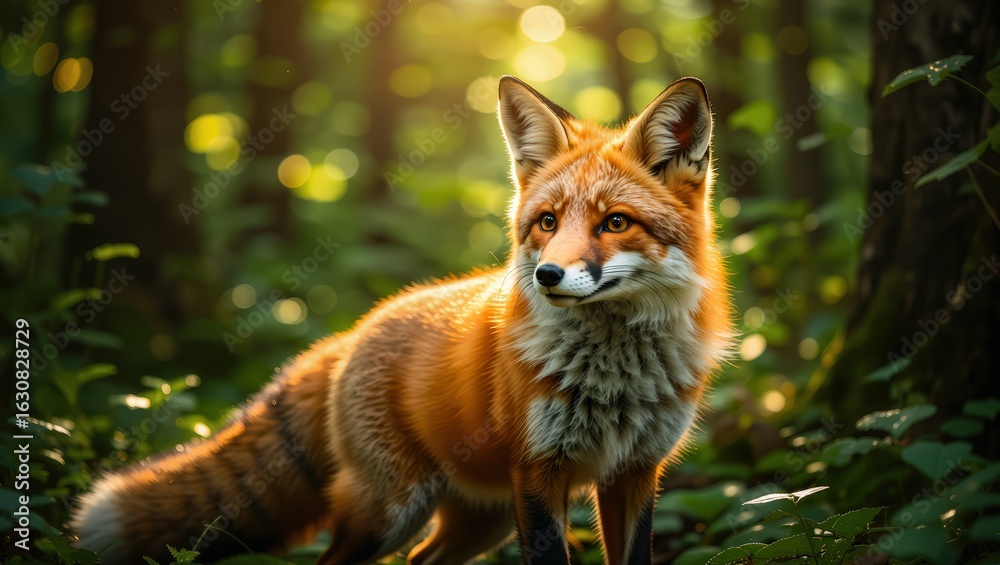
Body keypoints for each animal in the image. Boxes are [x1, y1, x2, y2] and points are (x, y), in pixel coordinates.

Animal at [73, 75, 732, 564]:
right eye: (547, 222)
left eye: (615, 222)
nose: (547, 276)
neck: (615, 377)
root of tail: (354, 332)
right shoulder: (539, 471)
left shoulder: (635, 472)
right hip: (391, 511)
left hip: (483, 517)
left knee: (420, 560)